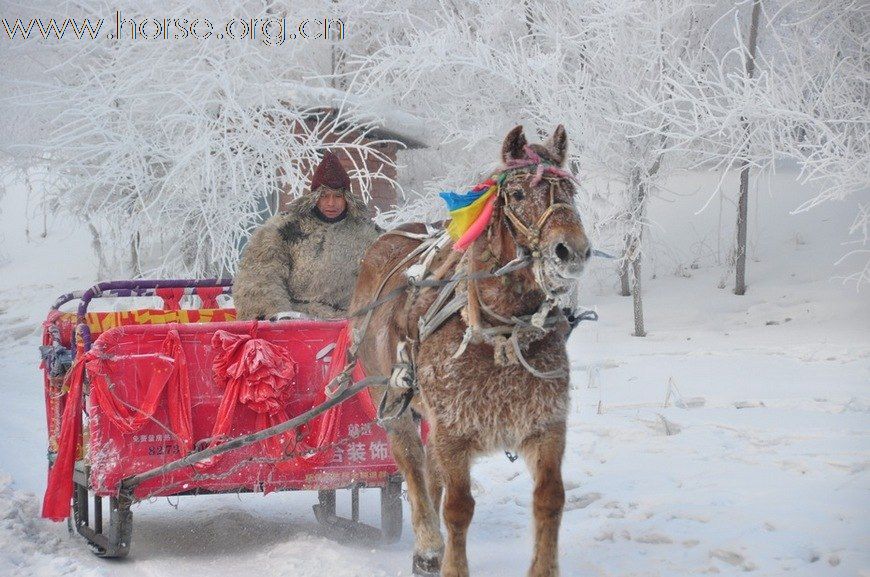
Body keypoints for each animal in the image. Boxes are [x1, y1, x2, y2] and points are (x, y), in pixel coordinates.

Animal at [350, 126, 588, 576]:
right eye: (517, 193)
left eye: (570, 191)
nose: (573, 250)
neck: (503, 334)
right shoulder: (453, 430)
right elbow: (458, 508)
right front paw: (449, 563)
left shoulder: (547, 424)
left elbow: (550, 498)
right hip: (393, 404)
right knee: (412, 466)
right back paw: (428, 546)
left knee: (429, 472)